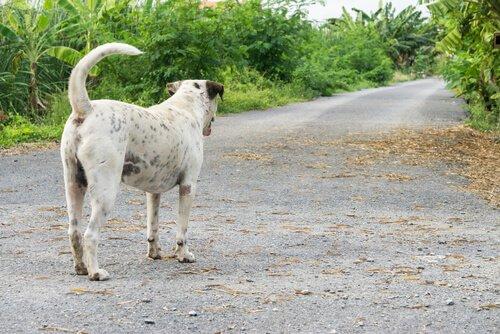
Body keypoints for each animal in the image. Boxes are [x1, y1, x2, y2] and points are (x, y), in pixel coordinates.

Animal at [60, 42, 223, 282]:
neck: (184, 106)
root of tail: (86, 108)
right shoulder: (188, 187)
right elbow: (182, 229)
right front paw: (183, 255)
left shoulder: (153, 193)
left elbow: (152, 227)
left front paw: (154, 253)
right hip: (105, 191)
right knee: (90, 235)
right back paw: (96, 272)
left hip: (73, 184)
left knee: (74, 231)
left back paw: (81, 268)